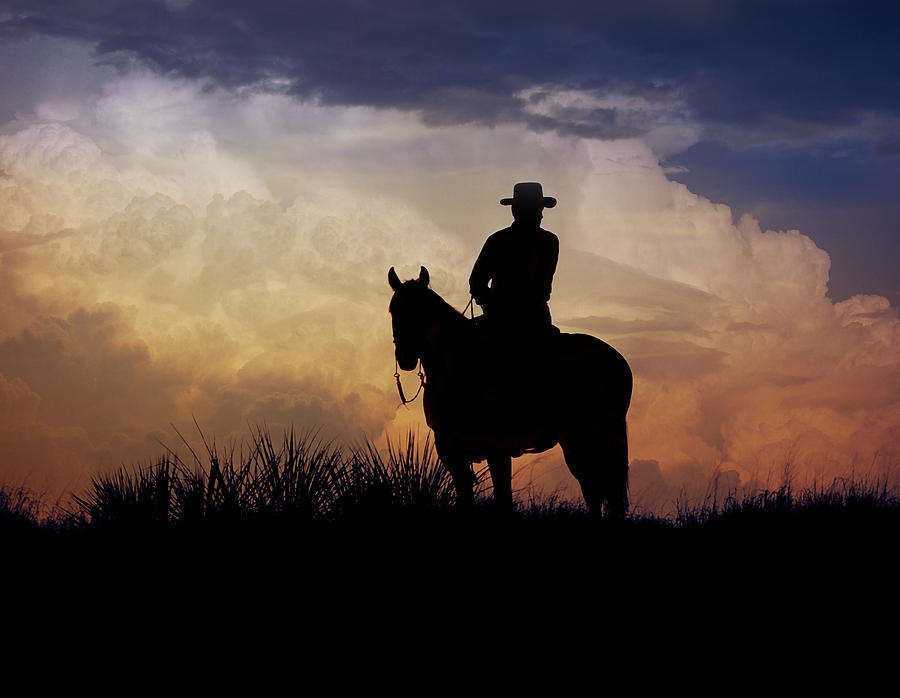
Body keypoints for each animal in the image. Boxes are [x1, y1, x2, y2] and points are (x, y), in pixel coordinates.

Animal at [386, 266, 632, 516]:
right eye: (393, 310)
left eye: (420, 310)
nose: (405, 357)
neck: (456, 360)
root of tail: (617, 360)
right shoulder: (456, 448)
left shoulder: (483, 447)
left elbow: (498, 497)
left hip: (581, 438)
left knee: (597, 489)